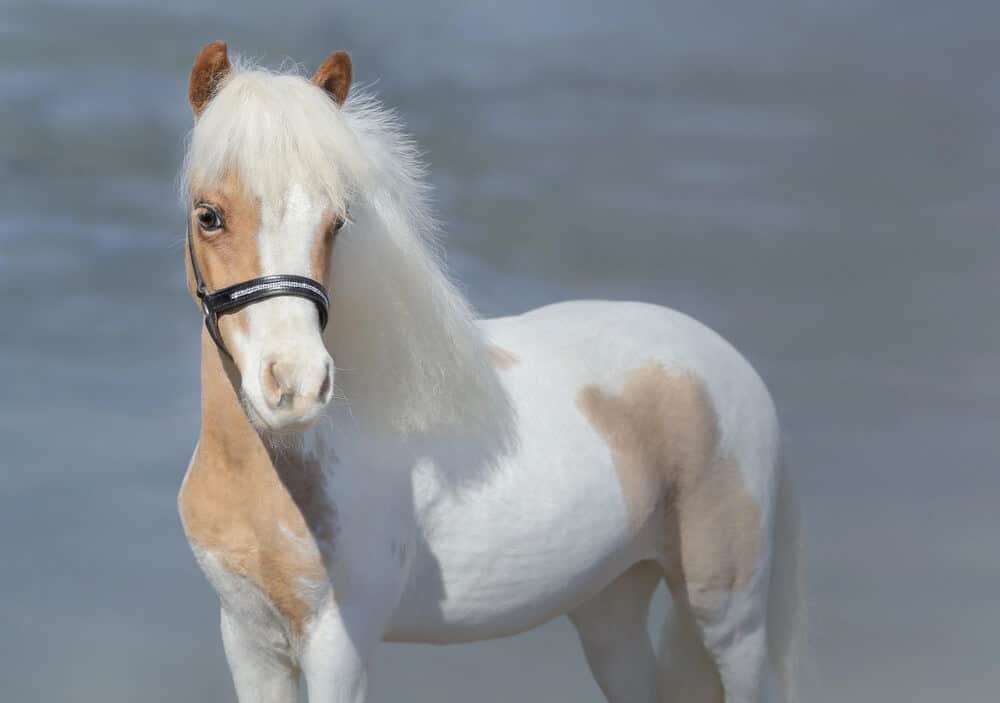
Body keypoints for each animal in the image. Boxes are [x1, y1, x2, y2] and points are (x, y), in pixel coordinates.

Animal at [177, 41, 801, 703]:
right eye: (209, 215)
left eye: (337, 221)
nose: (295, 387)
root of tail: (728, 364)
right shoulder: (248, 637)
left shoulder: (338, 645)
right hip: (611, 605)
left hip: (731, 618)